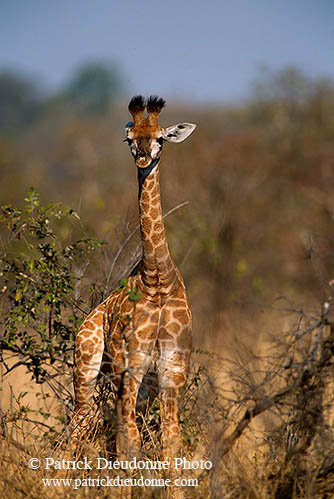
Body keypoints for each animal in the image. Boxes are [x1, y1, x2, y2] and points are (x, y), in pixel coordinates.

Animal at [70, 95, 196, 470]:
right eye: (129, 139)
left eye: (161, 138)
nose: (142, 157)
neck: (157, 279)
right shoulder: (131, 364)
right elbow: (130, 442)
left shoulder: (172, 369)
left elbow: (171, 442)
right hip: (88, 366)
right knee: (80, 422)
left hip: (141, 386)